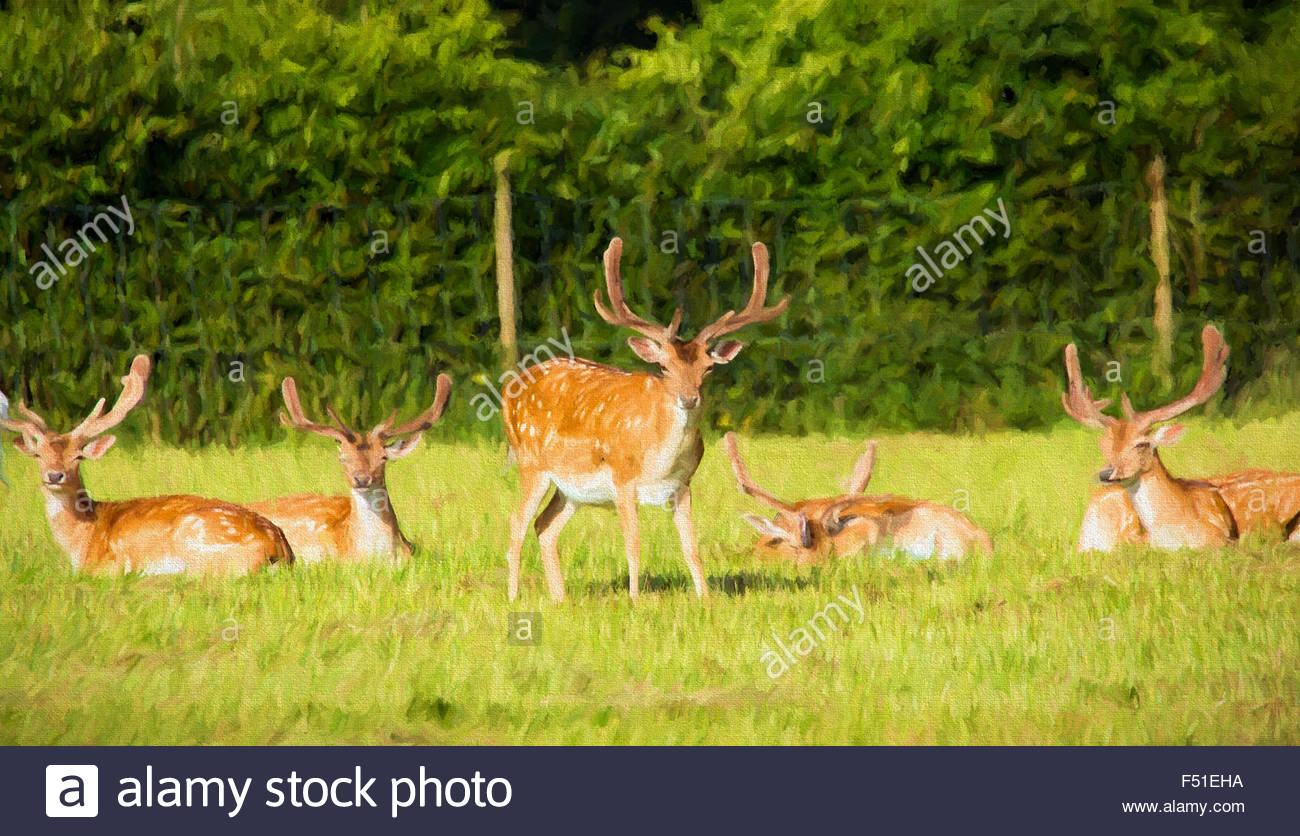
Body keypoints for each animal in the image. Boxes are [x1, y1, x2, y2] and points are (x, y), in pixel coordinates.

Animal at [0, 355, 293, 574]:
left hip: (194, 538)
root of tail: (277, 549)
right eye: (38, 455)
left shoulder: (104, 567)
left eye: (78, 457)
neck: (81, 539)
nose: (54, 475)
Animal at [501, 236, 788, 602]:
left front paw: (706, 600)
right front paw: (635, 600)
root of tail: (508, 388)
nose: (689, 398)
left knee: (545, 526)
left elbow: (691, 548)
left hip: (571, 489)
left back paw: (560, 599)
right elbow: (633, 545)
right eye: (663, 367)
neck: (659, 459)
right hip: (531, 462)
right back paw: (513, 596)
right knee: (516, 523)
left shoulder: (683, 484)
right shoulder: (622, 478)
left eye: (708, 369)